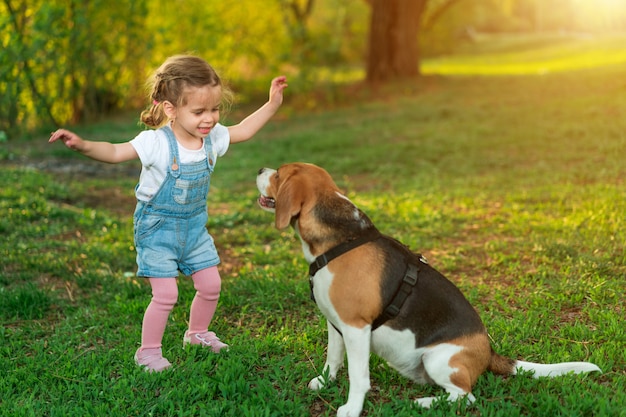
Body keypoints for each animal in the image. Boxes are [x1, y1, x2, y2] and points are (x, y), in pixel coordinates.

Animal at [255, 163, 600, 416]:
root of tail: (489, 353)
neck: (341, 240)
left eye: (279, 174)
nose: (260, 169)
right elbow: (333, 358)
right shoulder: (335, 324)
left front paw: (351, 408)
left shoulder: (355, 328)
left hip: (439, 359)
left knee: (465, 397)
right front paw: (324, 382)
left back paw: (423, 404)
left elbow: (358, 376)